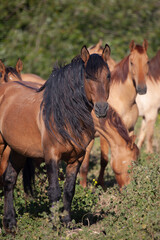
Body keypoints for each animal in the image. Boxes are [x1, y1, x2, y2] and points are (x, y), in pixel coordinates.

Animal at [0, 44, 114, 232]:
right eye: (87, 77)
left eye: (108, 76)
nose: (102, 108)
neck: (65, 115)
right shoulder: (52, 156)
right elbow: (54, 191)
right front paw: (54, 225)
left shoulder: (77, 158)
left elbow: (69, 190)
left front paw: (67, 221)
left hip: (18, 151)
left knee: (9, 181)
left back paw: (10, 224)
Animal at [80, 39, 149, 188]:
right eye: (132, 62)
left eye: (147, 61)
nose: (142, 88)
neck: (124, 99)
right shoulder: (102, 136)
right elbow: (104, 160)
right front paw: (100, 184)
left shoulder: (130, 129)